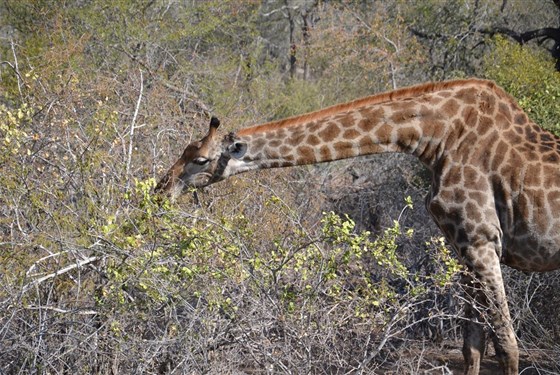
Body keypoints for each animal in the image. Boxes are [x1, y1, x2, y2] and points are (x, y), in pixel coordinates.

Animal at [155, 78, 560, 374]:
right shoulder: (463, 246)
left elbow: (507, 346)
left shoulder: (481, 239)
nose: (161, 189)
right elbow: (472, 347)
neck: (435, 137)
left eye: (200, 159)